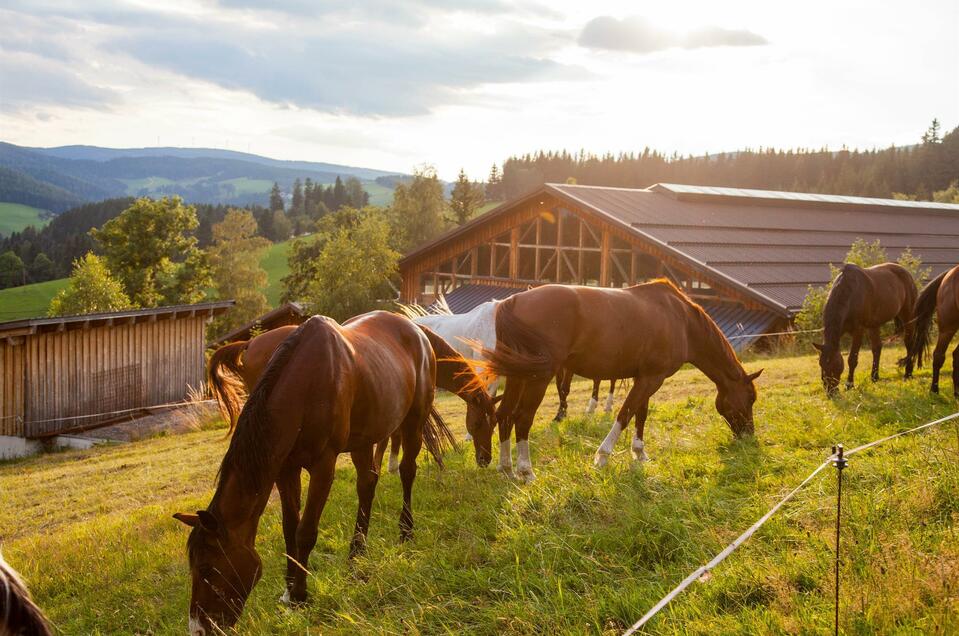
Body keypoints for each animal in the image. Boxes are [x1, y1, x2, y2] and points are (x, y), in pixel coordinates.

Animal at [175, 312, 458, 632]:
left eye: (207, 568)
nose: (198, 628)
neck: (305, 384)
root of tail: (415, 329)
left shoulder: (324, 466)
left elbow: (306, 531)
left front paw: (300, 595)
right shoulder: (285, 468)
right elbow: (289, 527)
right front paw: (289, 587)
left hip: (413, 420)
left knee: (407, 472)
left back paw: (406, 532)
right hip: (364, 437)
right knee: (367, 483)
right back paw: (356, 554)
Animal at [480, 280, 764, 480]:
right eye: (750, 398)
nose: (748, 435)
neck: (681, 320)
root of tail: (513, 301)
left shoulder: (646, 377)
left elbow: (641, 414)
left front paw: (640, 452)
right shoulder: (652, 378)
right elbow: (625, 413)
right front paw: (603, 456)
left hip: (518, 376)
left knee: (505, 415)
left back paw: (506, 468)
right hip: (538, 378)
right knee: (522, 418)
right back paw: (526, 471)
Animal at [812, 262, 920, 392]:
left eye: (835, 364)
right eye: (821, 364)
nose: (830, 391)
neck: (849, 294)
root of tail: (907, 274)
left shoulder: (858, 331)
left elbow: (852, 359)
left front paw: (849, 384)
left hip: (908, 317)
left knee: (909, 343)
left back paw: (908, 374)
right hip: (874, 325)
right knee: (877, 348)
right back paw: (874, 377)